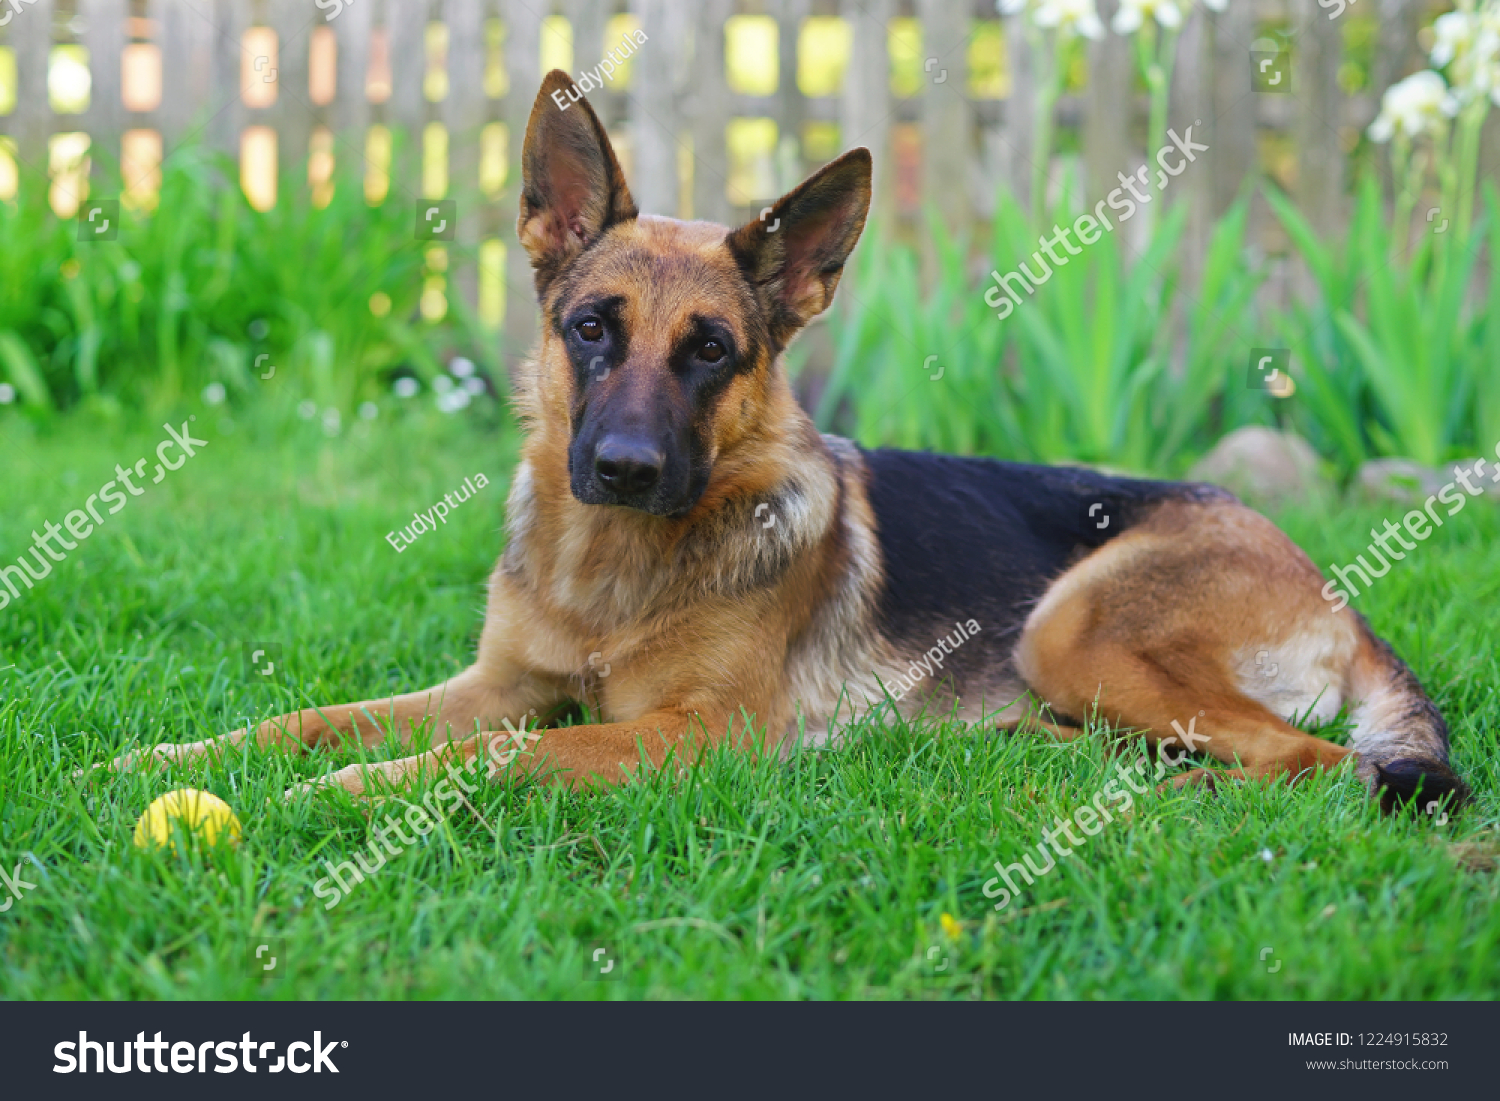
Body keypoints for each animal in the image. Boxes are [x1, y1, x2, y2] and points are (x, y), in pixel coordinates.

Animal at [111, 66, 1470, 810]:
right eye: (591, 330)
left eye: (712, 351)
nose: (623, 471)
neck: (613, 578)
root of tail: (1336, 591)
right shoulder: (491, 687)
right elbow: (311, 719)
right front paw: (166, 756)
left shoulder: (687, 736)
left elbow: (489, 761)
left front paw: (338, 800)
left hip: (1075, 626)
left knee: (1304, 762)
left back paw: (1176, 796)